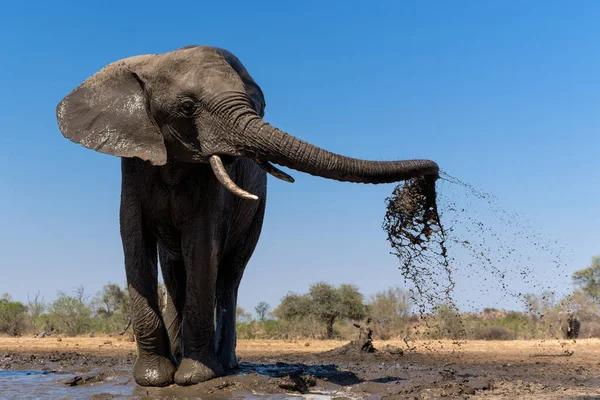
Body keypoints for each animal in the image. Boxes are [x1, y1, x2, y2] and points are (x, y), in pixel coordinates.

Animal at [55, 45, 440, 386]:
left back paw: (225, 366)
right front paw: (154, 379)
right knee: (176, 273)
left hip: (257, 215)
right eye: (187, 107)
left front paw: (195, 378)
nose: (432, 175)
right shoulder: (134, 164)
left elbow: (202, 246)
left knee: (228, 275)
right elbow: (135, 242)